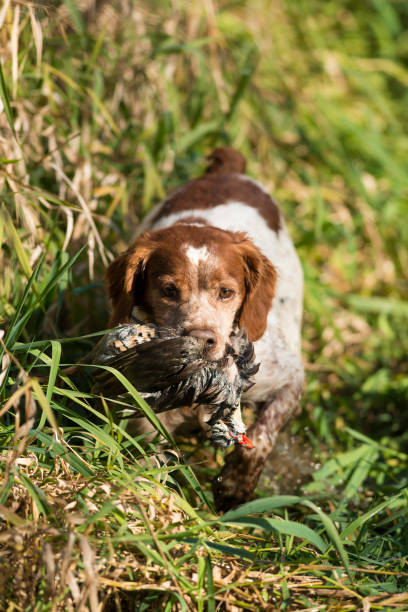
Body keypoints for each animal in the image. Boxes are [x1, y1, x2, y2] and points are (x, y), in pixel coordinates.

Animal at [105, 146, 302, 510]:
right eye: (169, 290)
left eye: (226, 292)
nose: (200, 339)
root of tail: (229, 170)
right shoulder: (150, 414)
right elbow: (152, 456)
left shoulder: (289, 378)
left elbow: (263, 434)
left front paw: (235, 485)